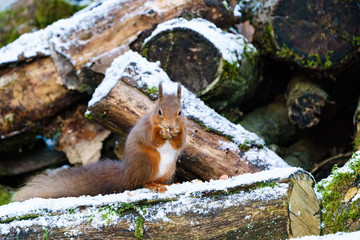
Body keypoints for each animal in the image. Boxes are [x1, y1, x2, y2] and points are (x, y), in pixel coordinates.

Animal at [12, 81, 187, 202]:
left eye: (180, 112)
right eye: (159, 111)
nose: (170, 126)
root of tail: (127, 175)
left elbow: (180, 143)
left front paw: (176, 133)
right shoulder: (146, 128)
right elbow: (152, 139)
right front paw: (162, 133)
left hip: (169, 169)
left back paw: (169, 184)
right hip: (148, 162)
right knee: (142, 182)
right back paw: (154, 186)